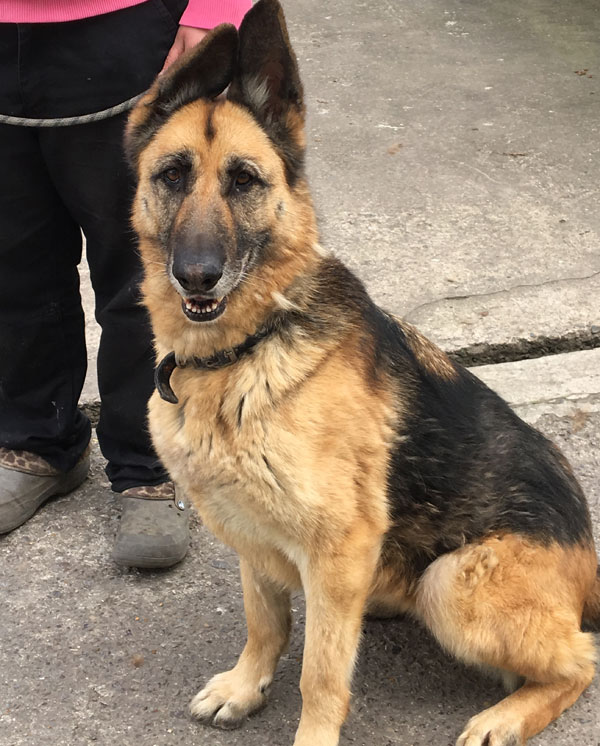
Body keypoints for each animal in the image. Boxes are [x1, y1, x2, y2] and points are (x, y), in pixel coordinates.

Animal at [124, 2, 596, 740]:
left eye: (244, 181)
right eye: (171, 174)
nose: (197, 276)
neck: (250, 348)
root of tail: (589, 560)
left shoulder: (335, 545)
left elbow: (320, 672)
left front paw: (311, 732)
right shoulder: (252, 534)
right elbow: (265, 622)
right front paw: (247, 685)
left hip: (452, 583)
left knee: (582, 659)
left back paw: (505, 716)